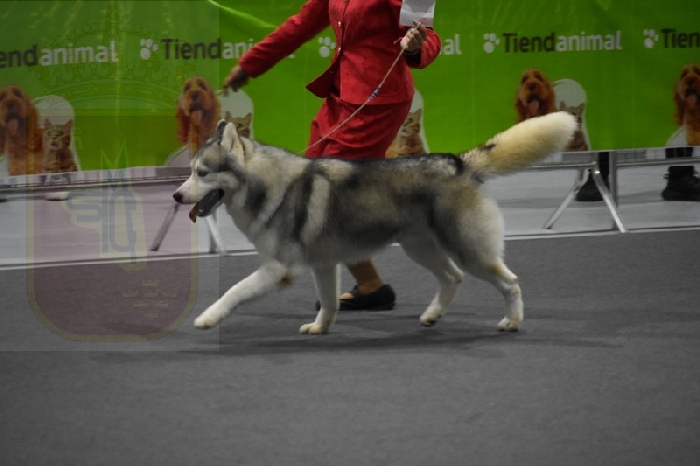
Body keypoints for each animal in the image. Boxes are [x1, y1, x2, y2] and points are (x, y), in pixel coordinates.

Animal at [173, 112, 576, 335]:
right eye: (189, 172)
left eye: (202, 173)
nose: (176, 196)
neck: (267, 184)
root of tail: (459, 162)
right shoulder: (324, 264)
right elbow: (328, 302)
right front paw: (320, 328)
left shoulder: (278, 269)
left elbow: (233, 292)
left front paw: (207, 318)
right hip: (421, 248)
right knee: (452, 278)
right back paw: (431, 316)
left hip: (469, 251)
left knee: (510, 282)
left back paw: (511, 322)